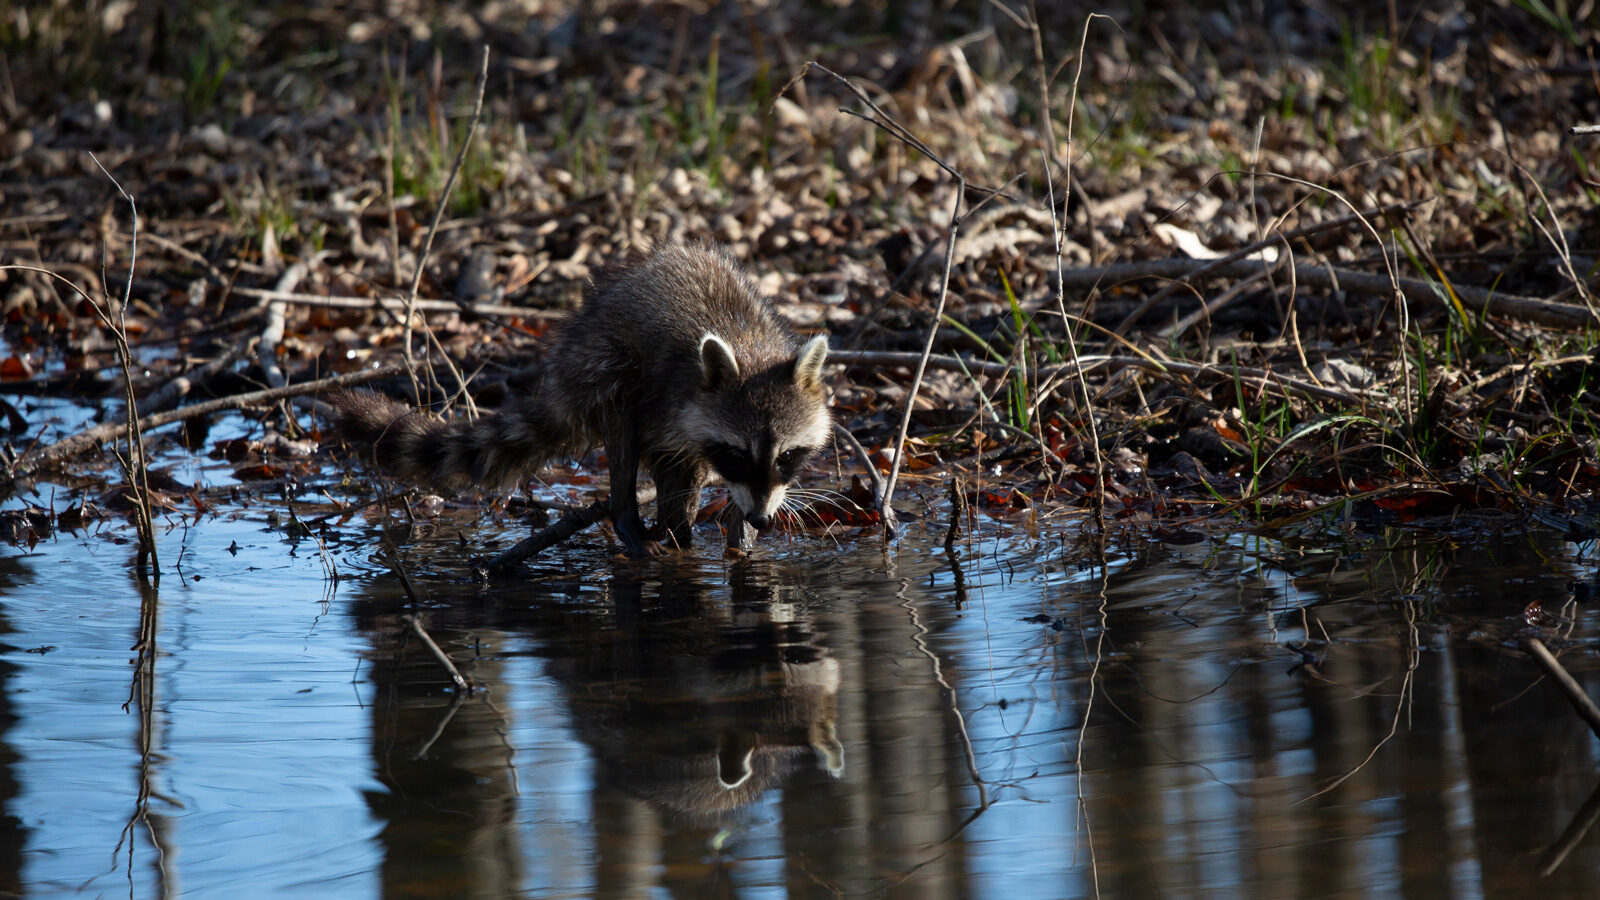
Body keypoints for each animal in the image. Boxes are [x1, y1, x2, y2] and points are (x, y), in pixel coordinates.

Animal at [323, 241, 825, 557]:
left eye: (786, 456)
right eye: (738, 454)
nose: (762, 519)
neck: (748, 347)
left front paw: (740, 538)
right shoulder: (673, 400)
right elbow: (671, 457)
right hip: (604, 362)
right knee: (622, 423)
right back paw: (634, 517)